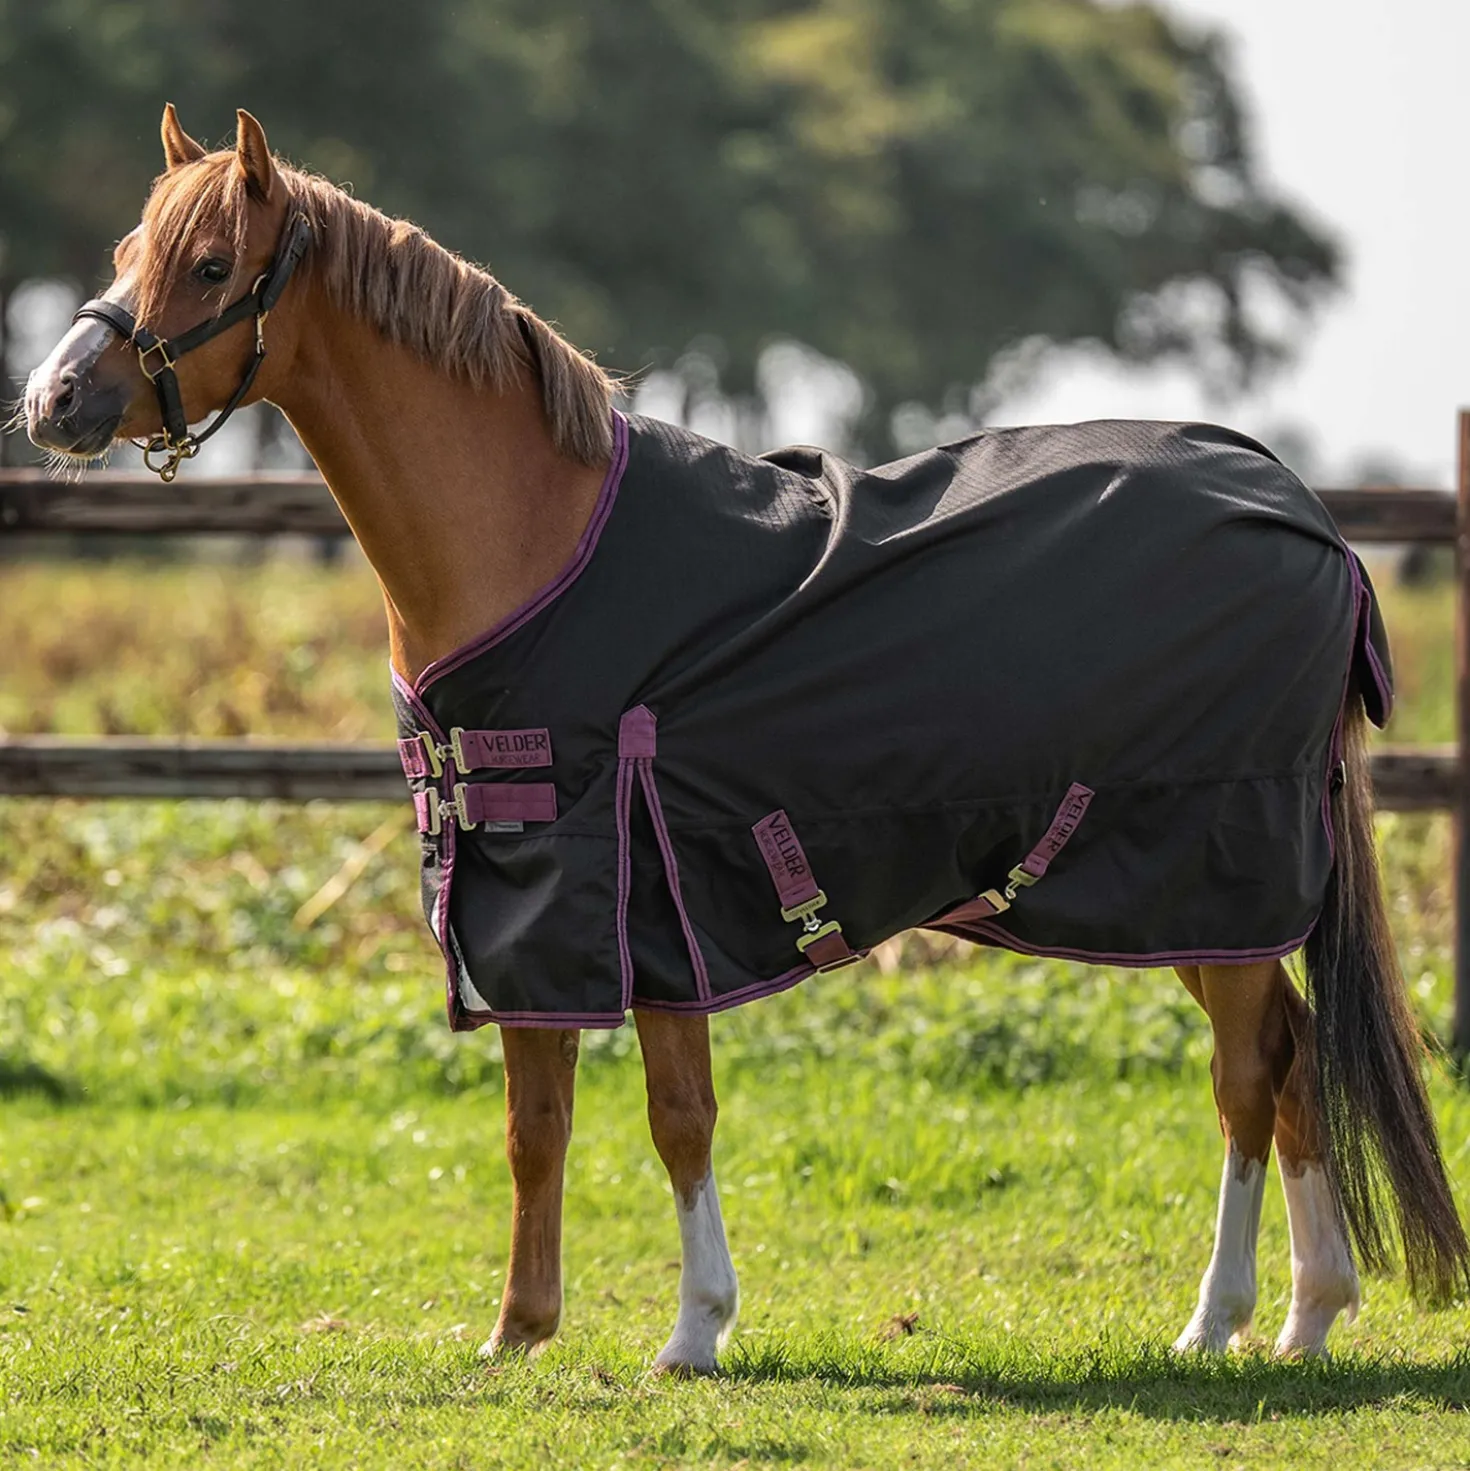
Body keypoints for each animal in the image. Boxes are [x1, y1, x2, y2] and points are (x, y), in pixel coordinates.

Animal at [22, 106, 1468, 1373]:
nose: (53, 401)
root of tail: (1303, 516)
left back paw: (1217, 1321)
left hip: (1201, 867)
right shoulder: (529, 892)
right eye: (123, 251)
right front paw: (516, 1333)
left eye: (211, 264)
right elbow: (534, 1123)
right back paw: (1307, 1317)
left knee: (1249, 1074)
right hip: (1209, 903)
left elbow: (677, 1117)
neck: (535, 538)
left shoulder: (646, 882)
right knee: (1295, 1061)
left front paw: (692, 1330)